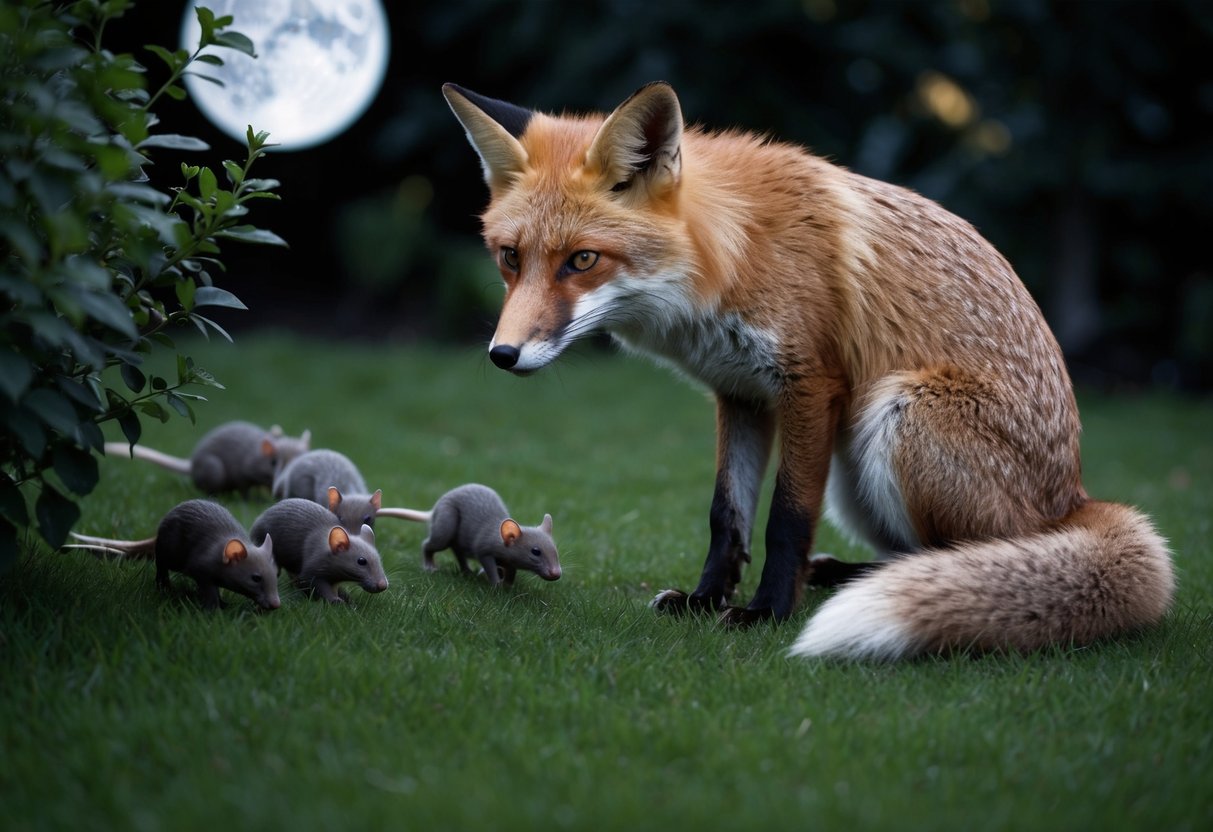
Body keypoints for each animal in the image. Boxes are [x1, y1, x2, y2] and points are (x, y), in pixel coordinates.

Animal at [441, 80, 1175, 660]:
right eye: (510, 257)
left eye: (583, 261)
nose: (503, 355)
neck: (730, 255)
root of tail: (1073, 498)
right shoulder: (738, 392)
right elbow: (726, 515)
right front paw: (707, 599)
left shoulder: (809, 386)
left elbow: (785, 518)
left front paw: (766, 611)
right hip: (857, 473)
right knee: (914, 555)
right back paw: (850, 577)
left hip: (895, 414)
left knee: (964, 559)